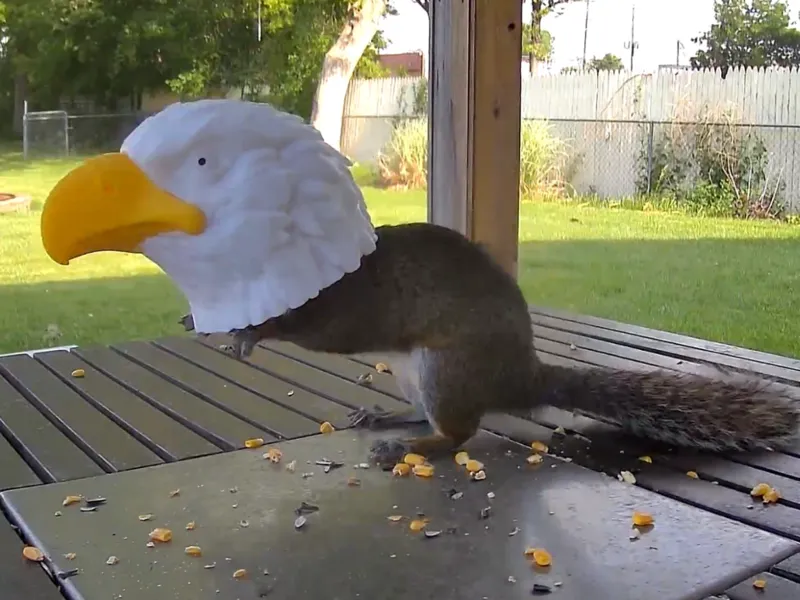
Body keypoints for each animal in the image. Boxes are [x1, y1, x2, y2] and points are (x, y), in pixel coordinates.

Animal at [181, 222, 800, 467]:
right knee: (427, 415)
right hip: (414, 375)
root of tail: (522, 377)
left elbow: (316, 329)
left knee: (459, 434)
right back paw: (389, 420)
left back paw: (411, 446)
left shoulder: (349, 306)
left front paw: (253, 331)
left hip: (446, 369)